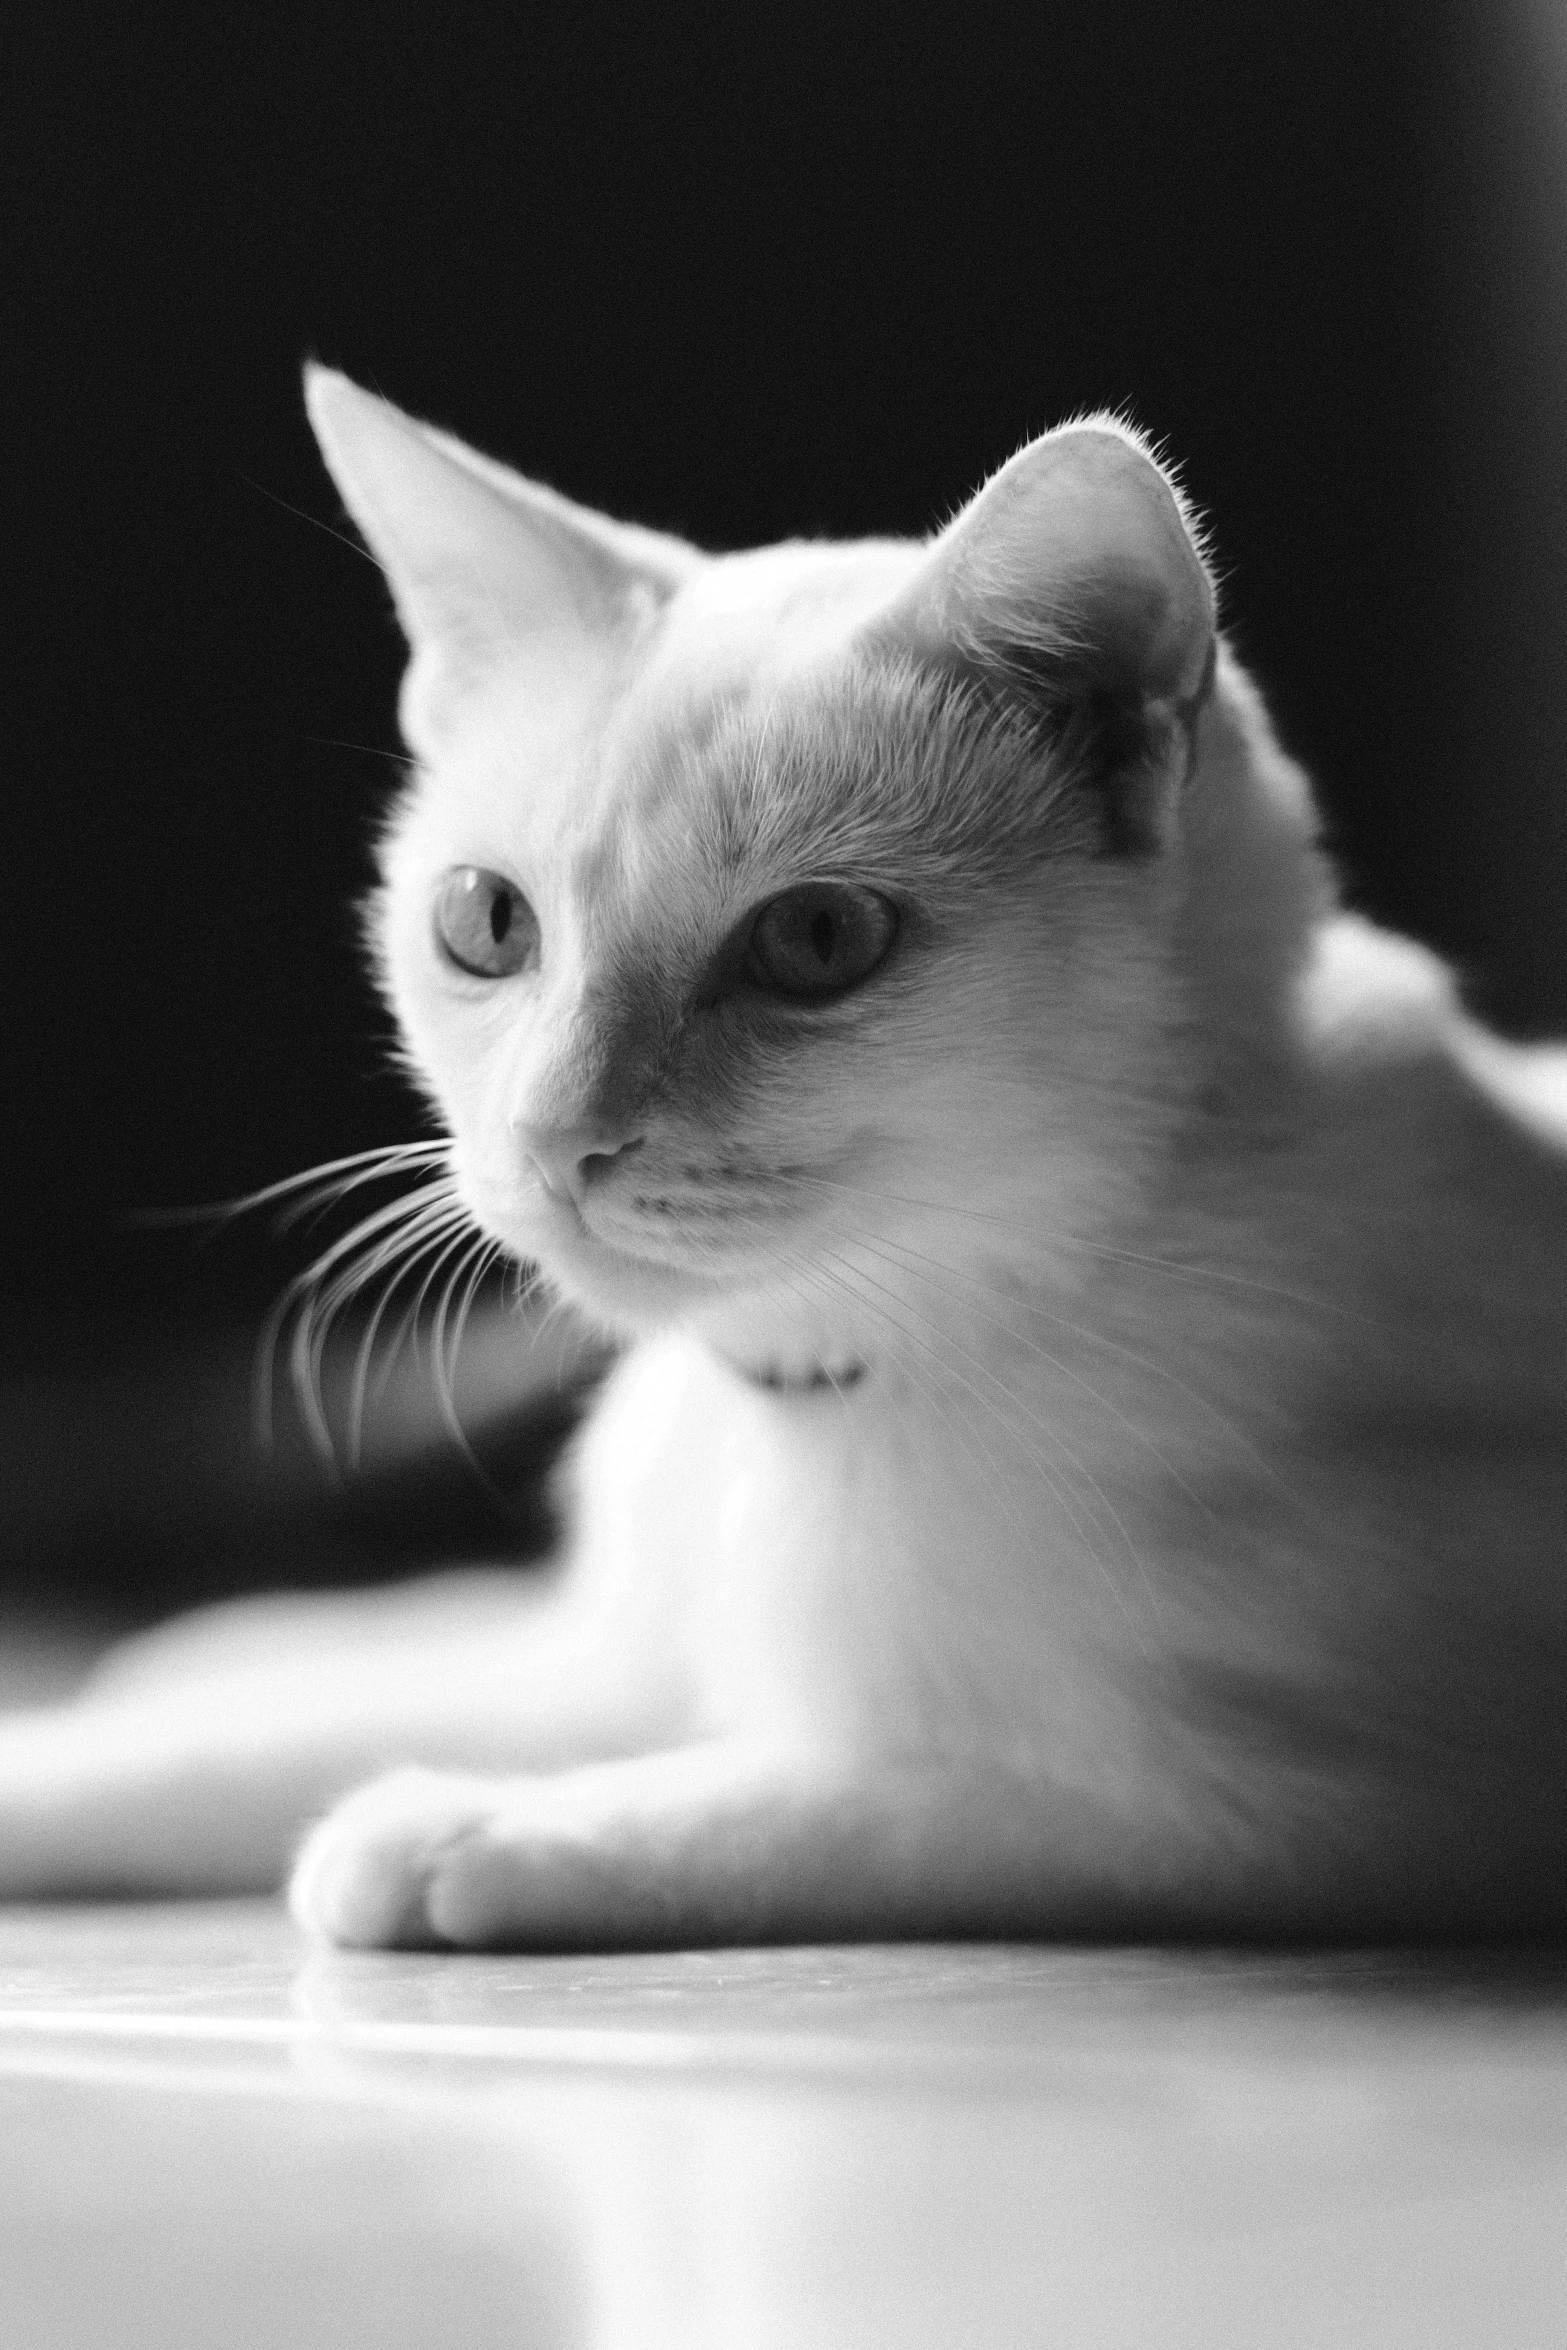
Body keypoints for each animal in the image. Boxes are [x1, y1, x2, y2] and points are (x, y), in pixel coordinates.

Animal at [3, 371, 1567, 1945]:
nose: (553, 1135)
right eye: (485, 923)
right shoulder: (616, 1672)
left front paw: (450, 1826)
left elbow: (796, 1804)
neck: (802, 1402)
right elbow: (235, 1748)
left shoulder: (1292, 1819)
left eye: (815, 941)